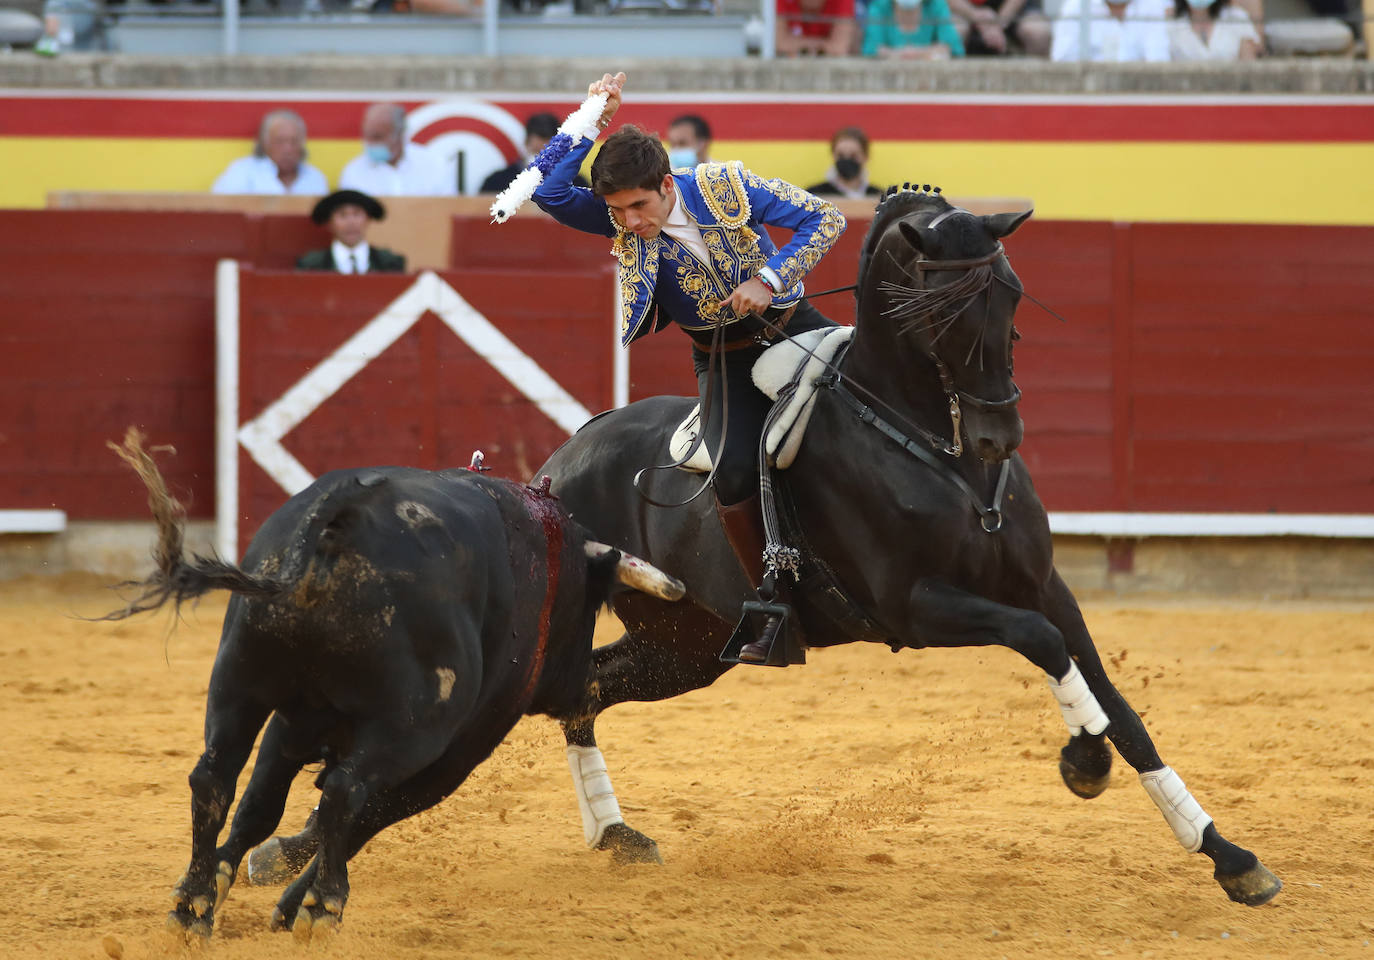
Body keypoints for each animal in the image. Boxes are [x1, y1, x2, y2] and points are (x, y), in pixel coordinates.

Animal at [104, 431, 684, 944]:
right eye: (590, 608)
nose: (582, 688)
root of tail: (343, 516)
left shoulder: (293, 722)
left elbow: (262, 806)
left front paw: (230, 886)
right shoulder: (455, 754)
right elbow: (368, 817)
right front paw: (296, 906)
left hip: (238, 680)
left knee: (214, 778)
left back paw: (191, 908)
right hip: (415, 730)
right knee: (344, 792)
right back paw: (323, 908)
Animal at [533, 185, 1275, 906]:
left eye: (1012, 293)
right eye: (942, 310)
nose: (998, 436)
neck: (940, 449)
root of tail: (557, 465)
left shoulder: (1044, 585)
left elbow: (1116, 703)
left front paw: (1229, 856)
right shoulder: (913, 608)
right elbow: (1041, 642)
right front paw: (1085, 763)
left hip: (684, 643)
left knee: (587, 687)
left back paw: (618, 835)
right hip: (681, 638)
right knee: (577, 688)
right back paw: (613, 832)